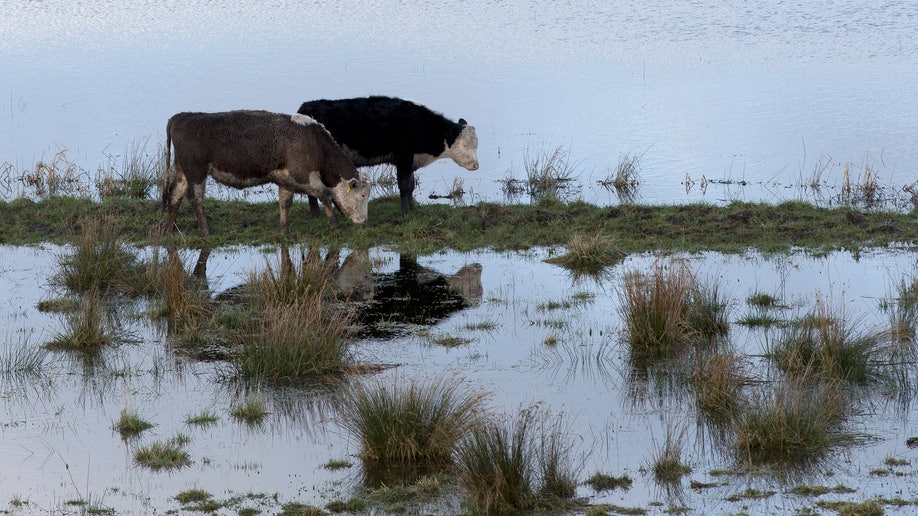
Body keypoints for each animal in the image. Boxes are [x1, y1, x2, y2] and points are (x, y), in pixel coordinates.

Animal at [164, 112, 372, 237]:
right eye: (363, 195)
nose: (364, 220)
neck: (314, 142)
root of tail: (181, 117)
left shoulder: (286, 179)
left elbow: (285, 203)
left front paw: (284, 229)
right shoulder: (303, 175)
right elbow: (325, 195)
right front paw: (335, 225)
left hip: (183, 172)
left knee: (175, 194)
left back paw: (170, 228)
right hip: (196, 172)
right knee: (195, 198)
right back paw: (206, 230)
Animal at [298, 95, 482, 214]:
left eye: (476, 144)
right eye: (465, 144)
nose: (476, 165)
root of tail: (304, 108)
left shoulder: (410, 162)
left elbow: (411, 185)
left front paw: (413, 209)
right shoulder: (403, 158)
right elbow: (404, 185)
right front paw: (405, 213)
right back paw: (316, 214)